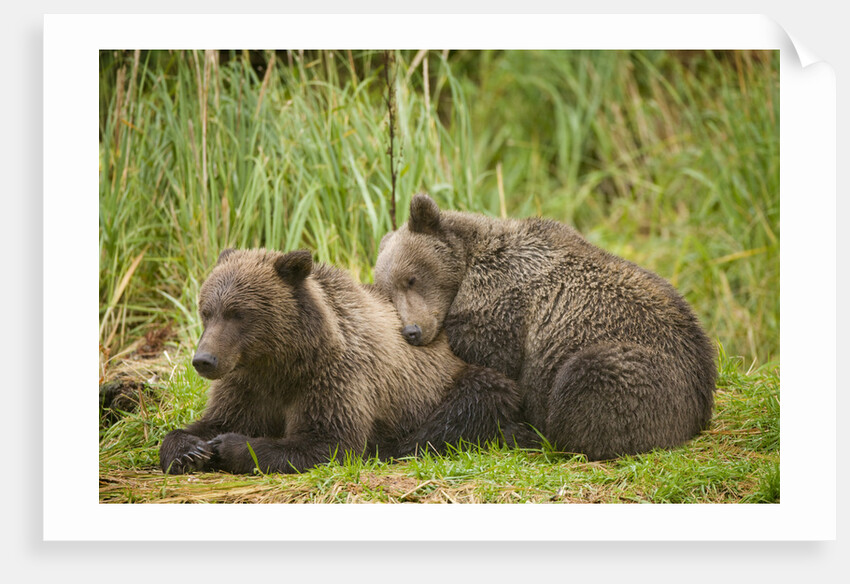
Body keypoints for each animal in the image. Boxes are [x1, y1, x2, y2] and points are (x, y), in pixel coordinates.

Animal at [159, 247, 534, 475]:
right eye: (206, 311)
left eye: (238, 314)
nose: (204, 360)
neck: (281, 362)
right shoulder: (247, 383)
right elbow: (215, 419)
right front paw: (190, 449)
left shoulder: (335, 376)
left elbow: (328, 441)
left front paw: (229, 445)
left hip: (454, 380)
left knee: (473, 401)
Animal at [374, 193, 717, 461]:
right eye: (387, 291)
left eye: (411, 278)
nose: (413, 331)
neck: (470, 267)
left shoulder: (501, 302)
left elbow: (493, 355)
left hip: (646, 370)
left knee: (589, 378)